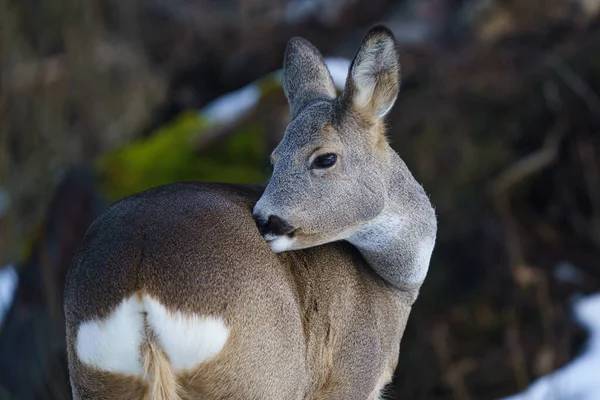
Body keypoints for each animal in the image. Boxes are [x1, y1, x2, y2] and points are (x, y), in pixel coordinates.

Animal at [65, 25, 436, 400]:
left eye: (325, 158)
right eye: (275, 158)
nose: (264, 220)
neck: (394, 284)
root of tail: (139, 285)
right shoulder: (353, 377)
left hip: (97, 379)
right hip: (263, 375)